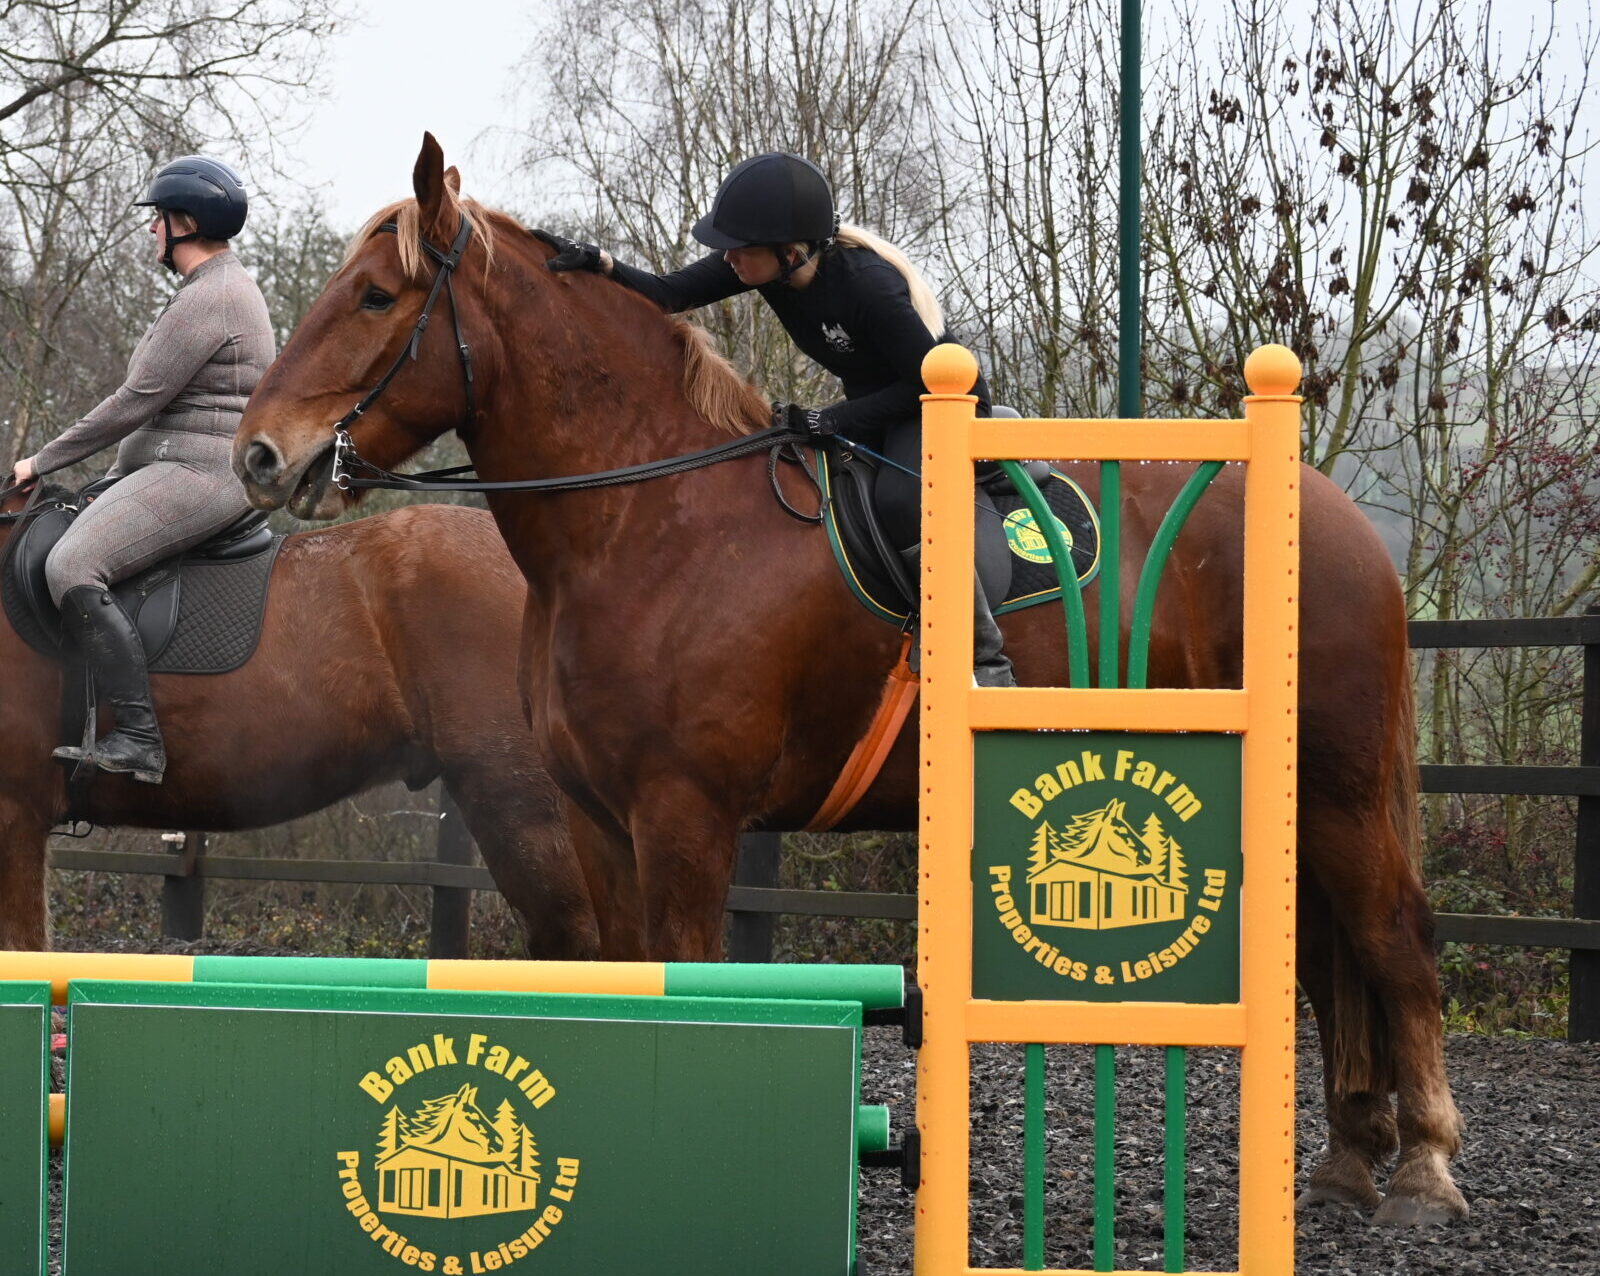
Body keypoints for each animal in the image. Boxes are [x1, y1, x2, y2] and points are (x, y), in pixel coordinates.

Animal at [229, 133, 1466, 1225]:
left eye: (374, 300)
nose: (259, 455)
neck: (648, 521)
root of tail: (1338, 515)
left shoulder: (685, 819)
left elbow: (686, 977)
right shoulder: (597, 820)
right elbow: (626, 973)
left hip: (1337, 784)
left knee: (1393, 941)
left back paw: (1422, 1170)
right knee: (1327, 958)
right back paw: (1346, 1161)